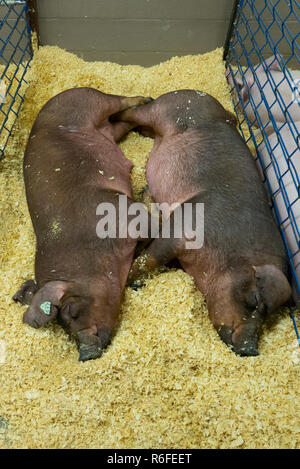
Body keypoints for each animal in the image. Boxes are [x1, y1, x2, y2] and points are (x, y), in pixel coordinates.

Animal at [12, 86, 151, 360]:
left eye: (72, 311)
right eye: (65, 329)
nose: (86, 353)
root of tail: (56, 97)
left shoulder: (128, 215)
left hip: (89, 100)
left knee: (116, 100)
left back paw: (146, 100)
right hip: (108, 131)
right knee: (120, 123)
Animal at [116, 89, 292, 356]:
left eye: (270, 316)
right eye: (254, 301)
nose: (250, 349)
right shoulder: (181, 227)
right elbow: (150, 260)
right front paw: (128, 281)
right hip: (164, 109)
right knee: (135, 112)